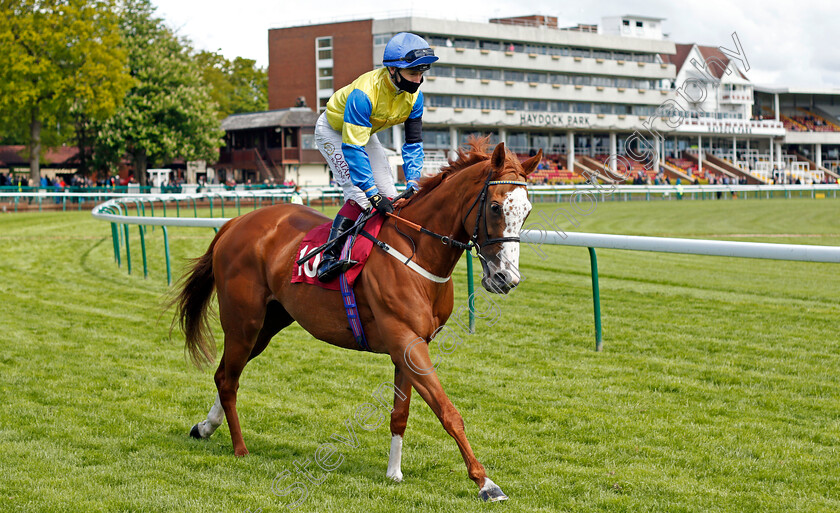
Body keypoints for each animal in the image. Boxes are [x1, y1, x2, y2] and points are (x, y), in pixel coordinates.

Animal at [174, 139, 540, 500]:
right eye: (496, 207)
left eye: (527, 211)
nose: (506, 278)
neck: (417, 250)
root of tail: (235, 223)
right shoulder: (405, 340)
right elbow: (447, 411)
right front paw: (485, 482)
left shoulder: (410, 346)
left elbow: (400, 413)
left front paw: (394, 472)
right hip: (243, 321)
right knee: (228, 379)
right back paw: (239, 447)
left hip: (268, 323)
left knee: (225, 374)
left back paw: (206, 426)